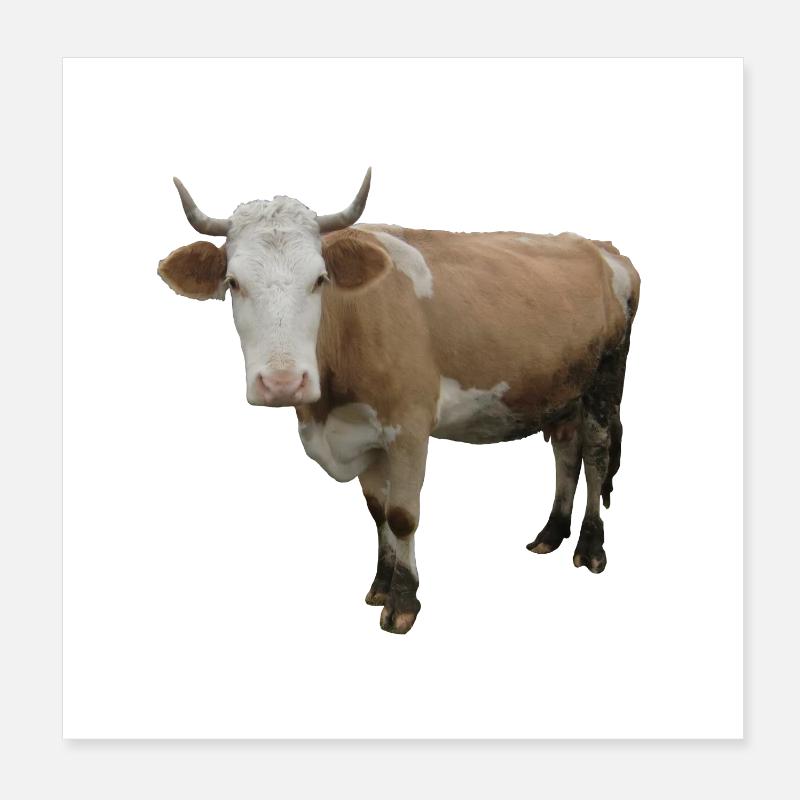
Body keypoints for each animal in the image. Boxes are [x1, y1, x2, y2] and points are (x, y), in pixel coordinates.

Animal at [158, 169, 640, 634]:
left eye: (320, 280)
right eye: (233, 282)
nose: (281, 382)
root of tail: (603, 248)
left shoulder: (409, 426)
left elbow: (404, 515)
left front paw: (404, 602)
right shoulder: (362, 433)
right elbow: (379, 513)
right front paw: (380, 585)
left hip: (606, 379)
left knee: (596, 456)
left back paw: (591, 548)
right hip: (561, 388)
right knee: (566, 452)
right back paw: (551, 533)